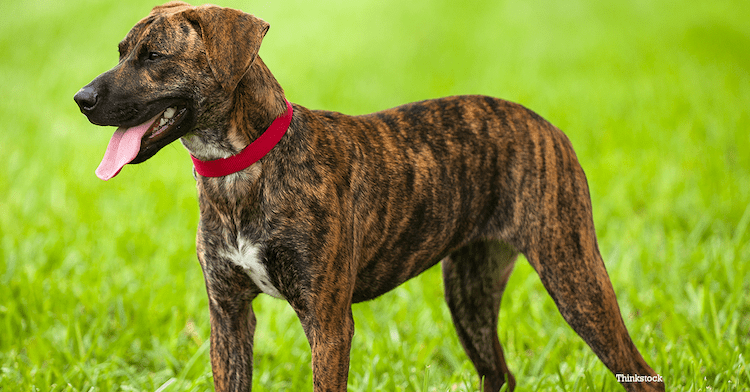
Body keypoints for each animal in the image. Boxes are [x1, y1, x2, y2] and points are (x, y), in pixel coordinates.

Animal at [75, 1, 664, 390]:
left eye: (154, 55)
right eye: (122, 52)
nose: (81, 98)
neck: (243, 168)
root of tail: (548, 126)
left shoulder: (329, 322)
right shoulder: (228, 316)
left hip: (574, 275)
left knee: (643, 373)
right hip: (470, 289)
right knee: (499, 374)